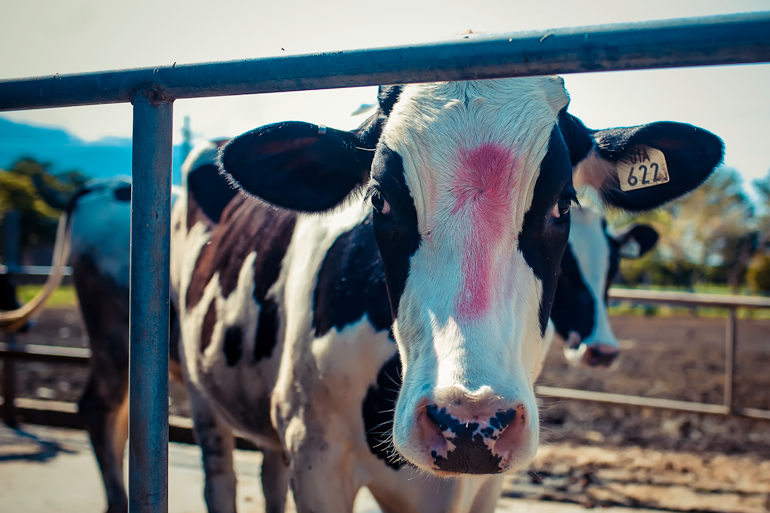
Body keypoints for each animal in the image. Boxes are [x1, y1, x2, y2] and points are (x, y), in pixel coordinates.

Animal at [172, 76, 720, 512]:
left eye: (563, 204)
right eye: (379, 200)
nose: (469, 422)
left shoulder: (485, 486)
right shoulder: (316, 455)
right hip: (203, 399)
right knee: (218, 475)